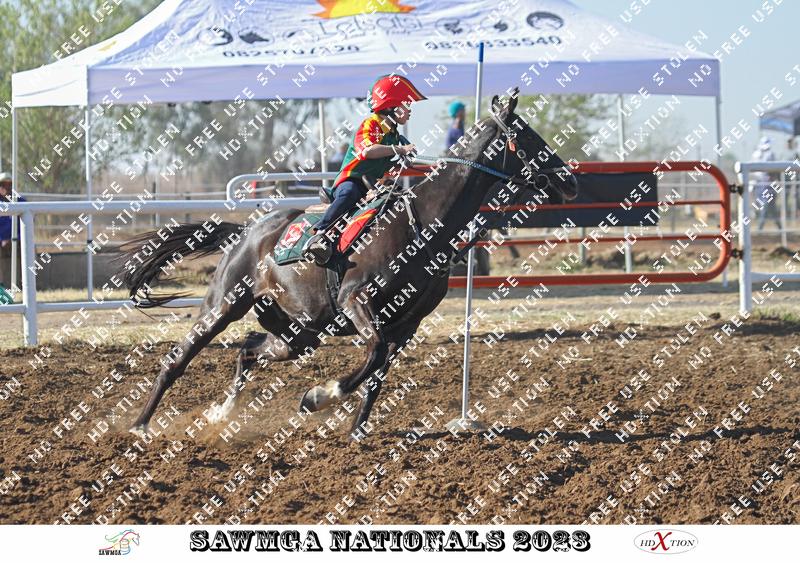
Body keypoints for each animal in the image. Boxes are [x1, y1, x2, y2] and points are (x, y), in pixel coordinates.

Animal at [118, 89, 579, 441]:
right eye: (527, 135)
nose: (571, 181)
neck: (422, 226)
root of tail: (244, 234)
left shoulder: (408, 324)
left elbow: (379, 371)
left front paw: (356, 428)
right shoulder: (357, 302)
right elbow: (373, 354)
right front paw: (318, 397)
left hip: (298, 331)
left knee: (248, 350)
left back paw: (221, 414)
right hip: (223, 305)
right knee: (178, 359)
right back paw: (140, 425)